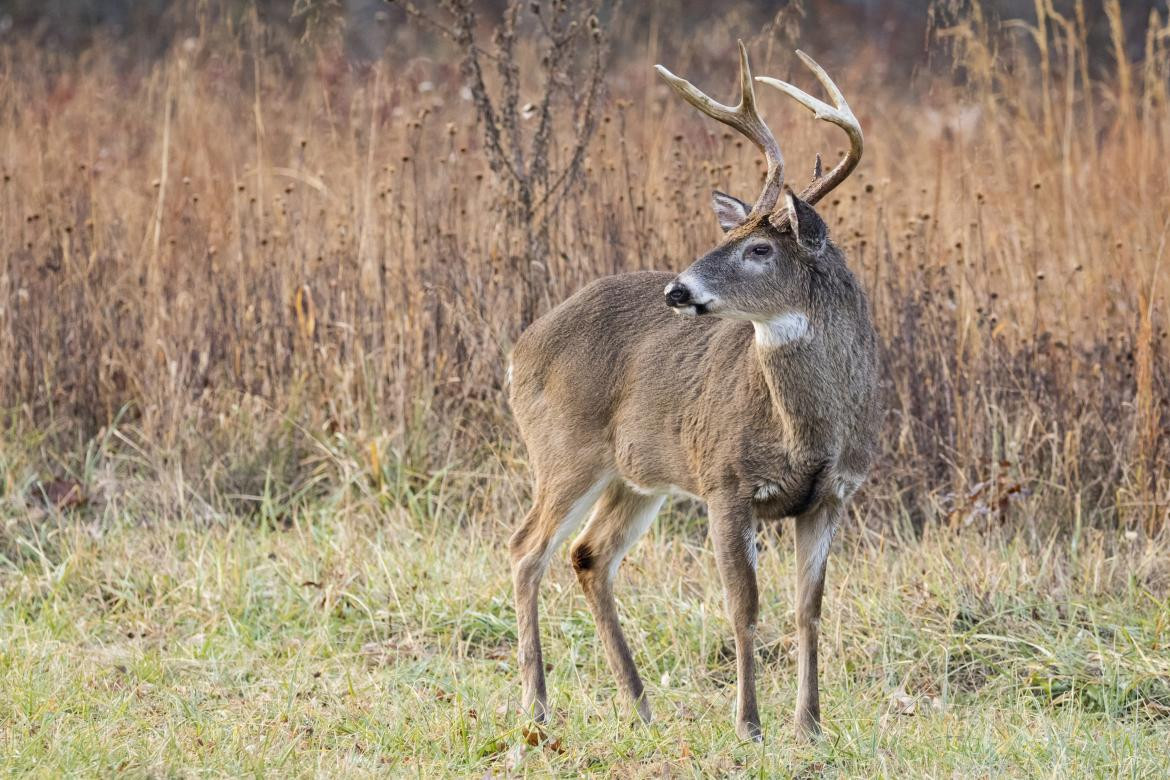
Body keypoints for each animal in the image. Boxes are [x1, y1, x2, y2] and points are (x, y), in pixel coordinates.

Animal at [505, 39, 879, 743]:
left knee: (588, 555)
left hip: (636, 476)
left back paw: (640, 706)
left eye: (759, 249)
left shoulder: (834, 494)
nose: (678, 290)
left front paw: (809, 726)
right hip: (564, 450)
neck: (808, 431)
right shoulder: (725, 481)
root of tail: (519, 347)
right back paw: (536, 707)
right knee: (526, 549)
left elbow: (809, 608)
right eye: (726, 236)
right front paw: (749, 725)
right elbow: (743, 605)